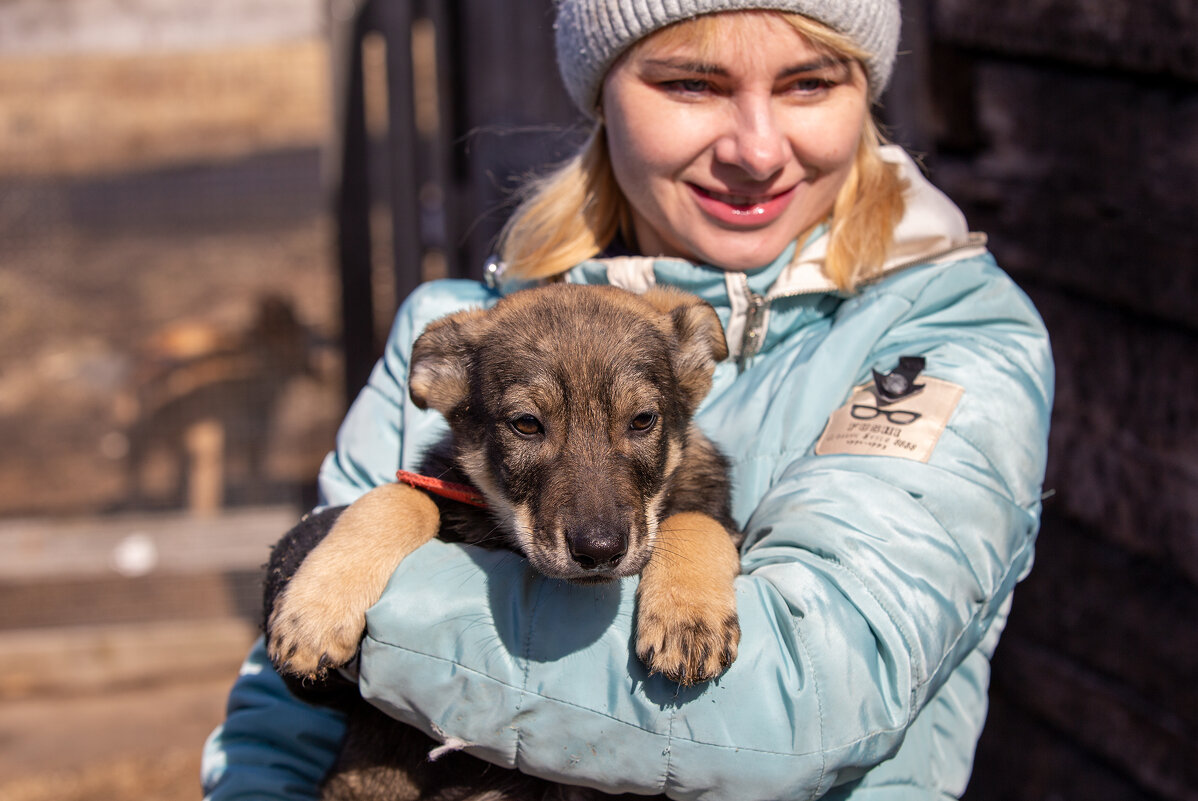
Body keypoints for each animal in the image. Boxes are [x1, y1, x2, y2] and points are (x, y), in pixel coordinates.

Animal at [267, 282, 742, 799]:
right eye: (526, 424)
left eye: (642, 420)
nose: (599, 552)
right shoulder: (441, 487)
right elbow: (399, 497)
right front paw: (315, 612)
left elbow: (696, 519)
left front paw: (688, 617)